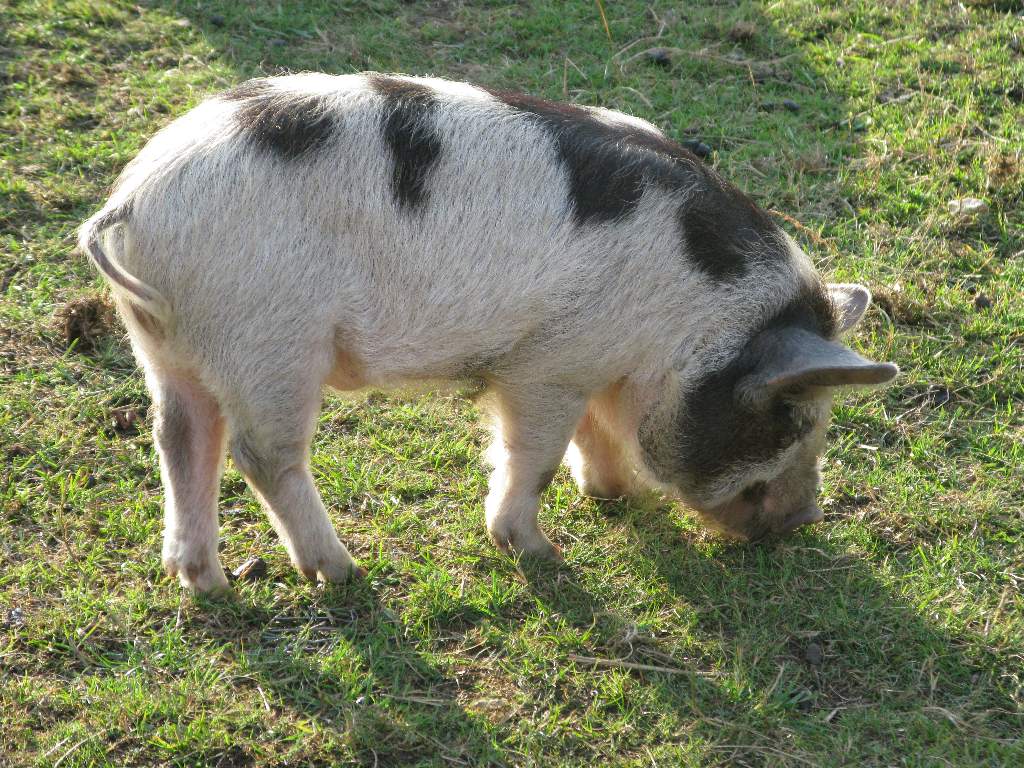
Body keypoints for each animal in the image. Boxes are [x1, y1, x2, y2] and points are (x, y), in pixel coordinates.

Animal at [78, 73, 898, 592]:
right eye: (793, 417)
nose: (806, 517)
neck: (692, 317)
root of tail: (131, 201)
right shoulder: (546, 366)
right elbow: (533, 453)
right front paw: (541, 553)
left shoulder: (591, 363)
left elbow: (593, 433)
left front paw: (618, 497)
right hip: (269, 339)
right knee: (261, 453)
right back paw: (342, 573)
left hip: (165, 343)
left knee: (178, 435)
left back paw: (205, 584)